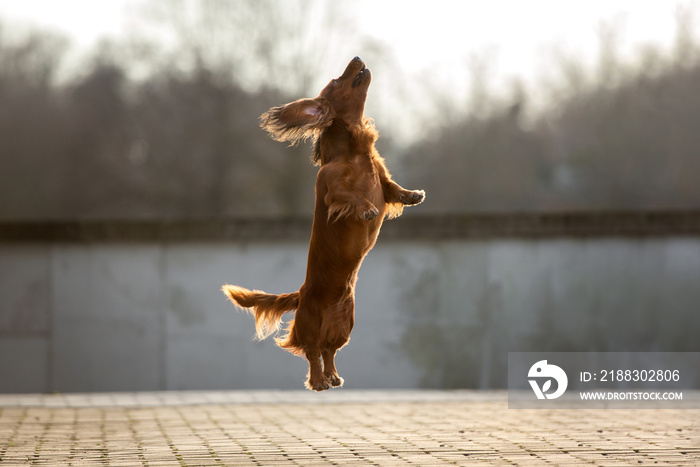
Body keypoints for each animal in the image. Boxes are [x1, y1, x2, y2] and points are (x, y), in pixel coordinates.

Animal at [221, 57, 424, 392]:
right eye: (335, 82)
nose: (357, 59)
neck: (354, 152)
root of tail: (301, 294)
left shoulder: (382, 179)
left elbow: (392, 187)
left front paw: (413, 195)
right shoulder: (332, 190)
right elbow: (351, 196)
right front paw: (367, 209)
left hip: (345, 326)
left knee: (329, 351)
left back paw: (333, 377)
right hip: (310, 324)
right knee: (312, 351)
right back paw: (318, 381)